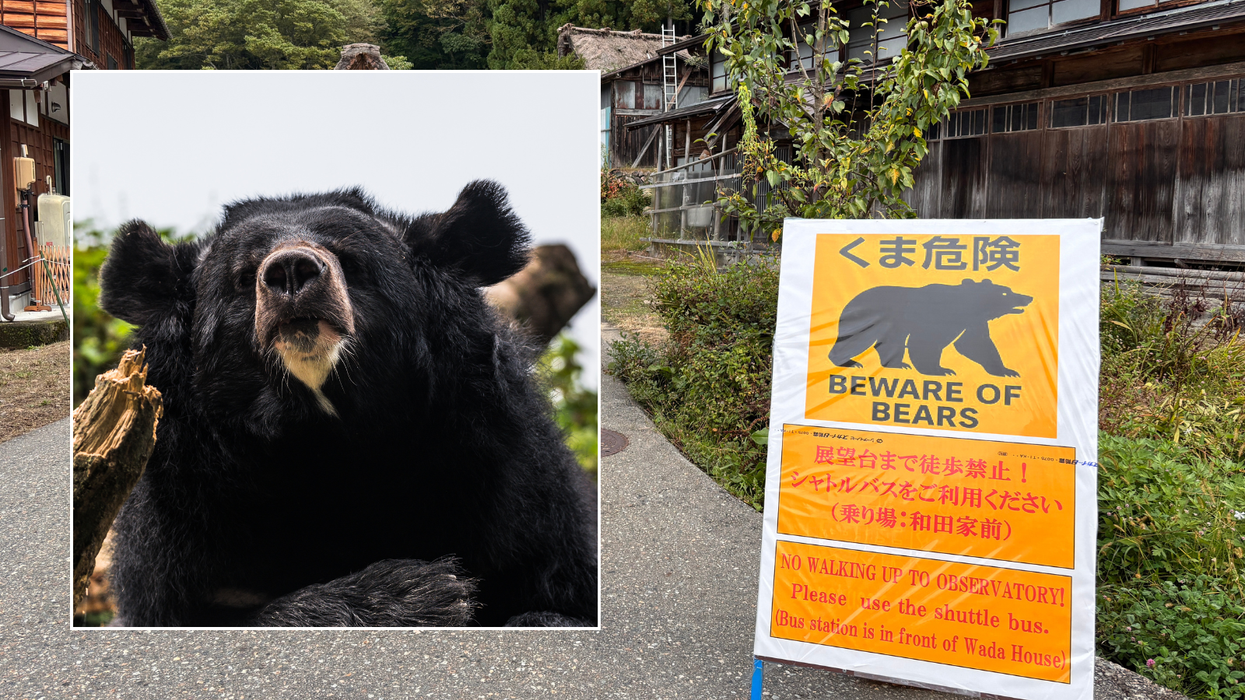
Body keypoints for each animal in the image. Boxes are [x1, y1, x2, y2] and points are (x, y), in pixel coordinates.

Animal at [97, 181, 598, 627]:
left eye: (352, 261)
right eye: (243, 276)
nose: (291, 270)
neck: (328, 439)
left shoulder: (514, 484)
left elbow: (558, 592)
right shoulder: (182, 511)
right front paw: (424, 594)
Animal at [828, 279, 1033, 377]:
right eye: (1006, 292)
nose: (1028, 297)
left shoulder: (972, 321)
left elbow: (975, 344)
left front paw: (1007, 371)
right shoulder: (935, 315)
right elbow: (926, 343)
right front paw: (940, 370)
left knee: (891, 342)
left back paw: (898, 364)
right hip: (866, 318)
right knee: (855, 340)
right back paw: (849, 362)